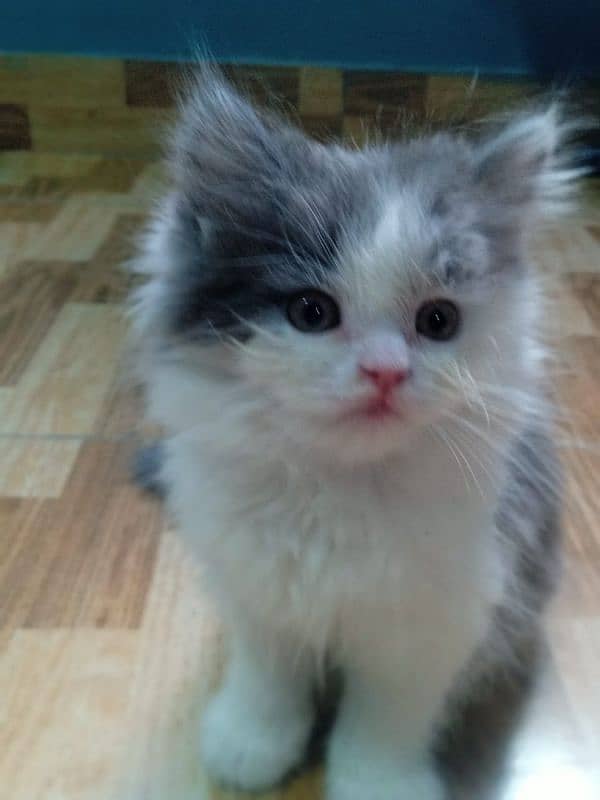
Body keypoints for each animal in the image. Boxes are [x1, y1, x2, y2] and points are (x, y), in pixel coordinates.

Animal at [129, 70, 580, 800]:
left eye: (438, 320)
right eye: (311, 312)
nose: (385, 372)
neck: (336, 496)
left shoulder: (433, 624)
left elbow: (385, 722)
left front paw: (378, 783)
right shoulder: (258, 595)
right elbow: (267, 681)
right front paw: (250, 743)